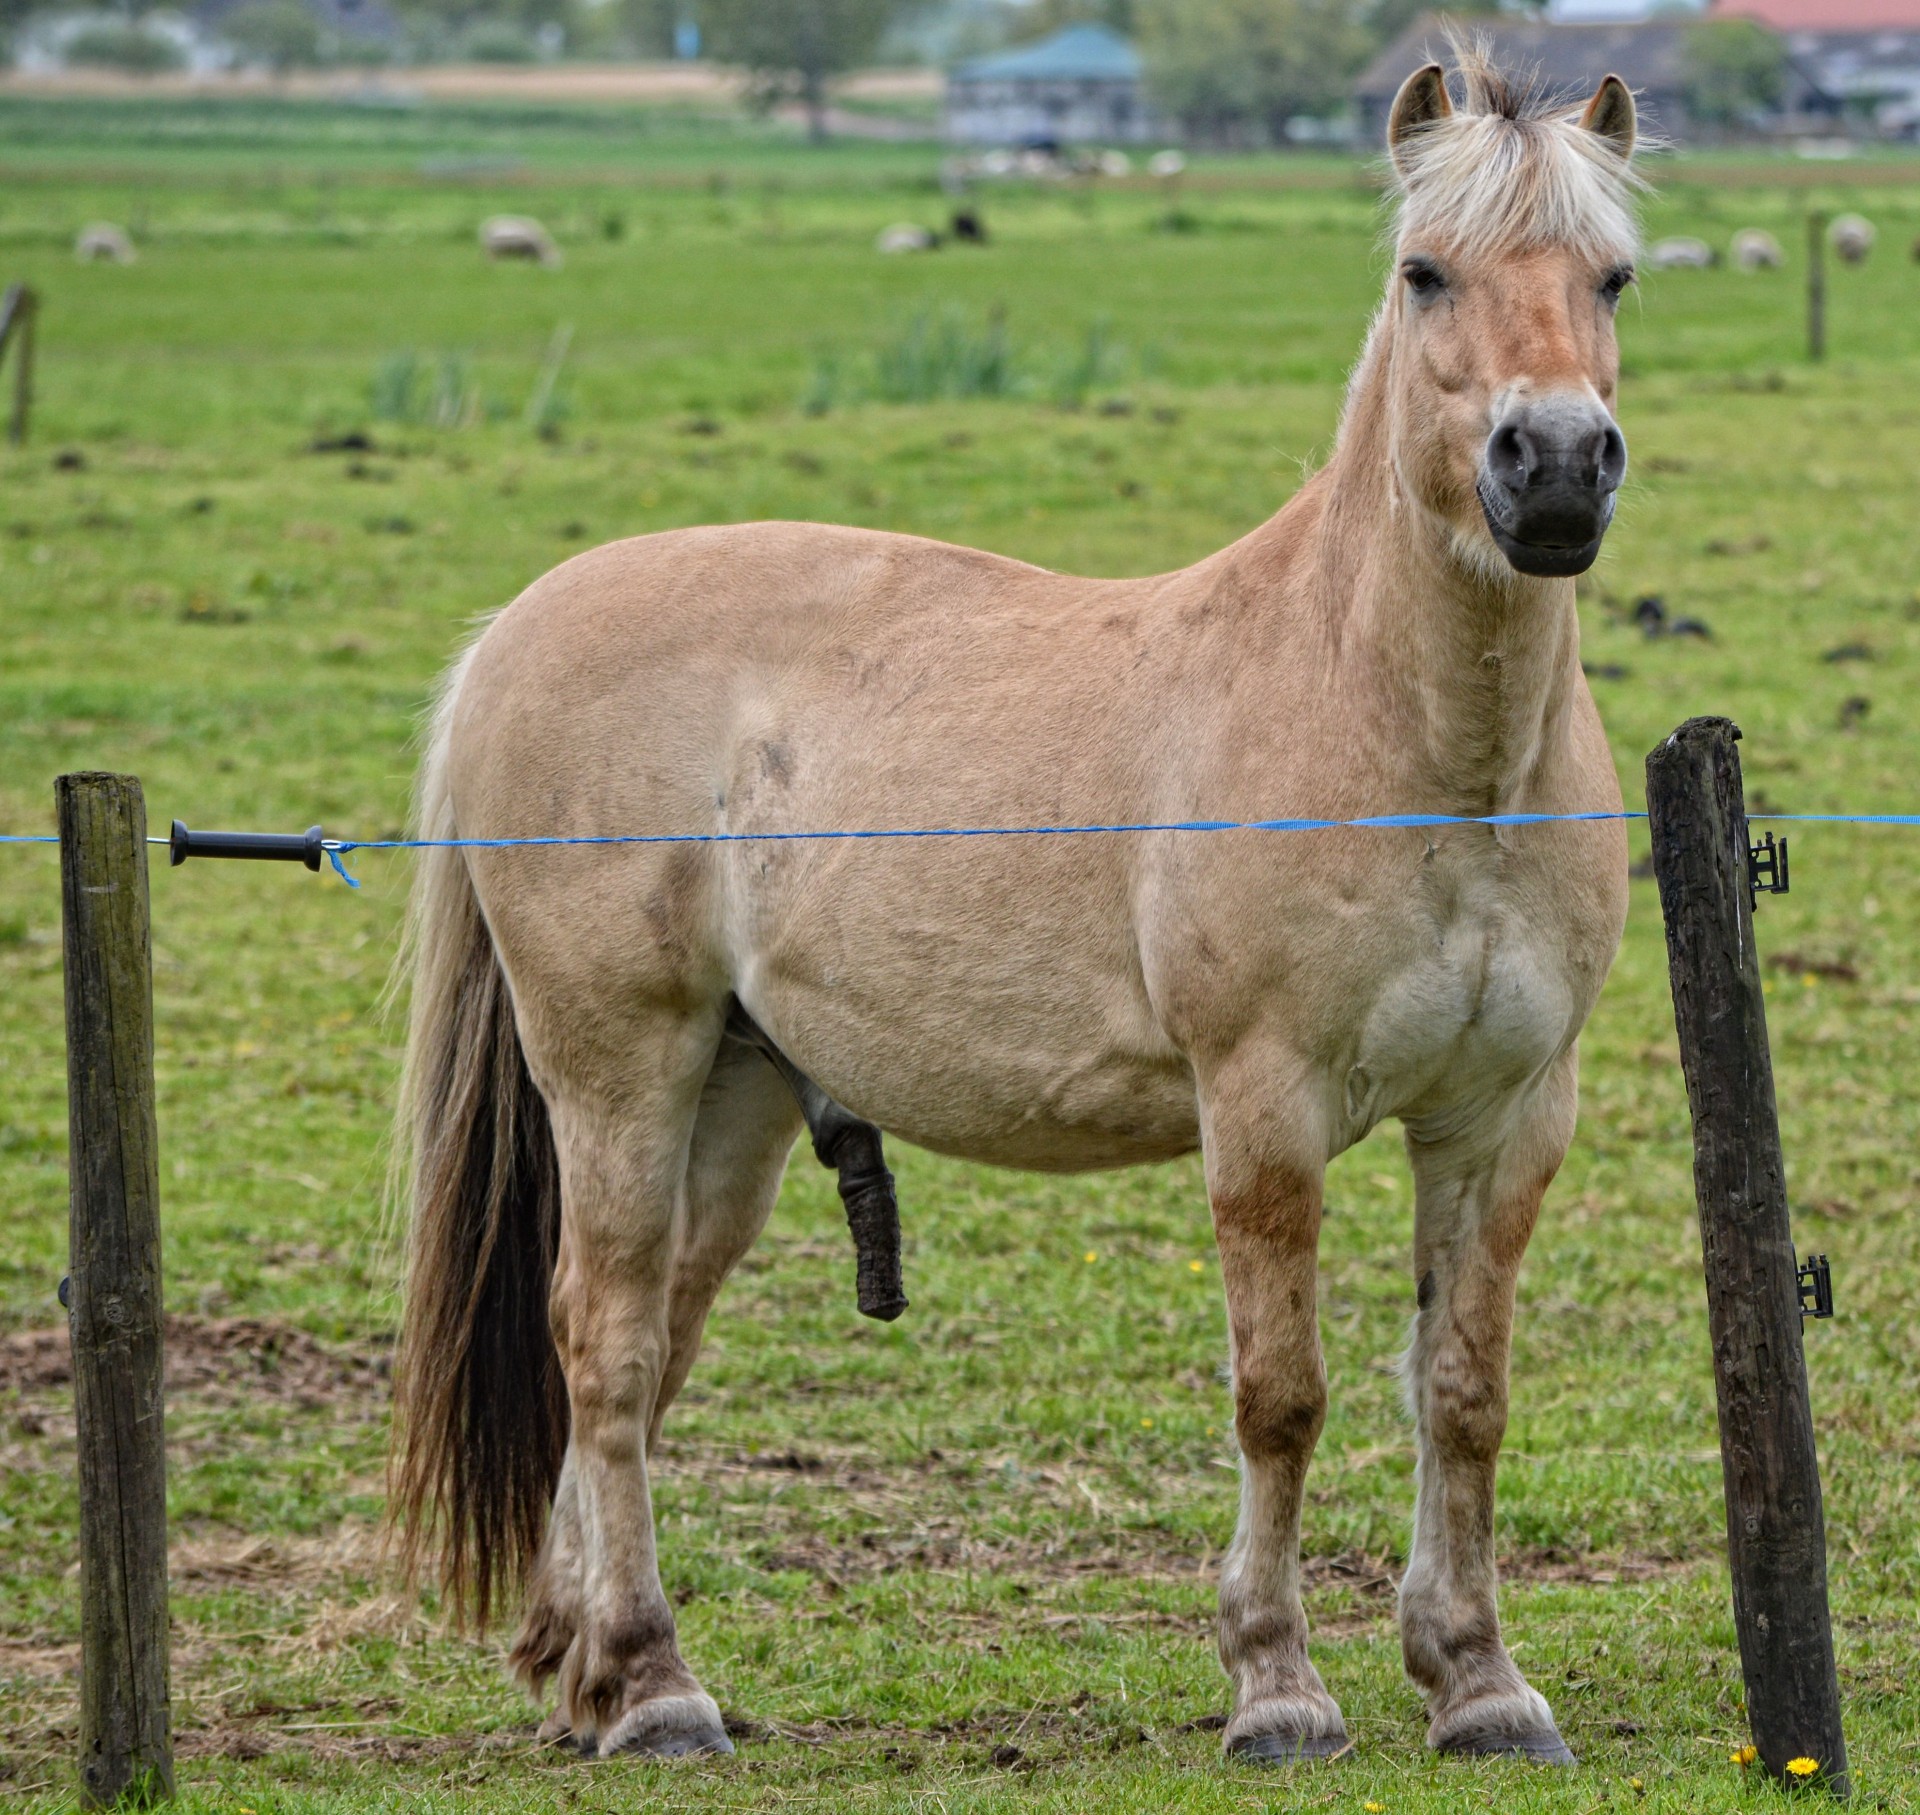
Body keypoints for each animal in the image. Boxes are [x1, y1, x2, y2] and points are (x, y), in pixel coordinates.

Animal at [389, 46, 1635, 1766]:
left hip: (732, 1095)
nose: (1558, 466)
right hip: (617, 1068)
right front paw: (1276, 1683)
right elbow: (1283, 1393)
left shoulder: (1506, 1116)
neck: (1424, 751)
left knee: (641, 1359)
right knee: (604, 1333)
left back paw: (580, 1664)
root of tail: (515, 624)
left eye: (1615, 275)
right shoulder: (1264, 1108)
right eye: (1424, 271)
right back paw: (650, 1684)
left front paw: (1478, 1678)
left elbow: (1461, 1389)